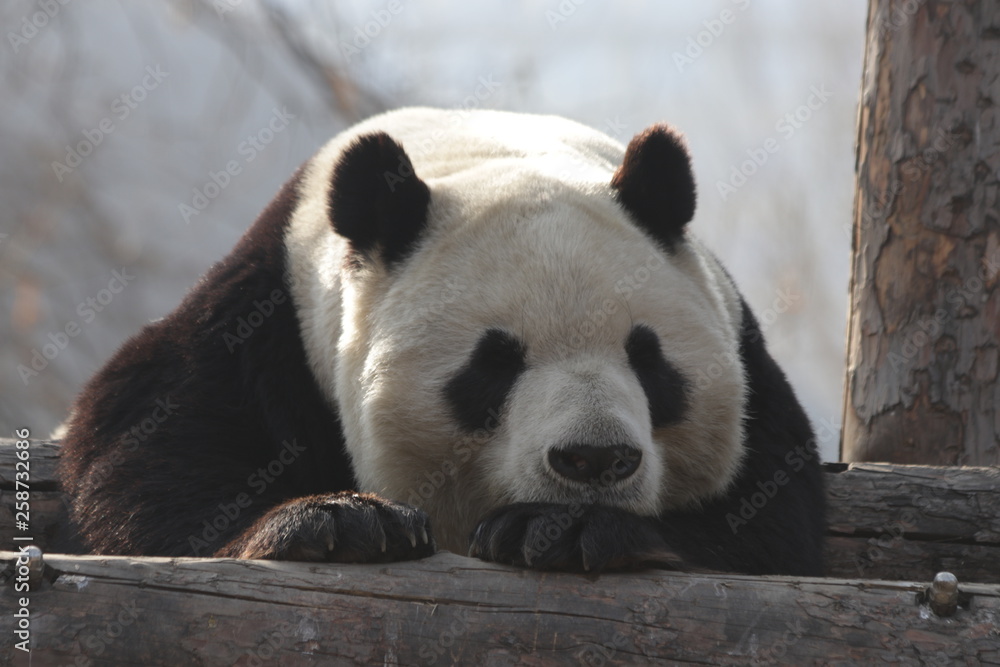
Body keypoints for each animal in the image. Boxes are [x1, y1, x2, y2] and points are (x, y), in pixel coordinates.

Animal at [58, 107, 825, 575]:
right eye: (495, 363)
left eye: (648, 356)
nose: (596, 460)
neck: (484, 150)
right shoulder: (269, 313)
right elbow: (153, 446)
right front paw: (339, 521)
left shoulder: (740, 341)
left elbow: (771, 516)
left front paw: (560, 528)